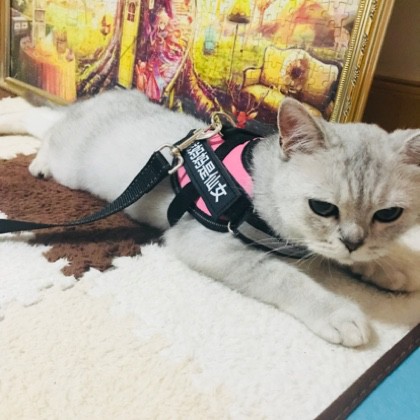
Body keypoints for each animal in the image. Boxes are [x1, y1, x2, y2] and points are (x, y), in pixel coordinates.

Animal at [0, 89, 419, 347]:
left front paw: (391, 265)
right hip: (71, 164)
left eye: (388, 214)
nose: (352, 242)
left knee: (40, 115)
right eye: (323, 208)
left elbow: (356, 257)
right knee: (46, 126)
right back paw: (37, 160)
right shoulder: (208, 244)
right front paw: (338, 312)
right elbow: (284, 277)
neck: (256, 183)